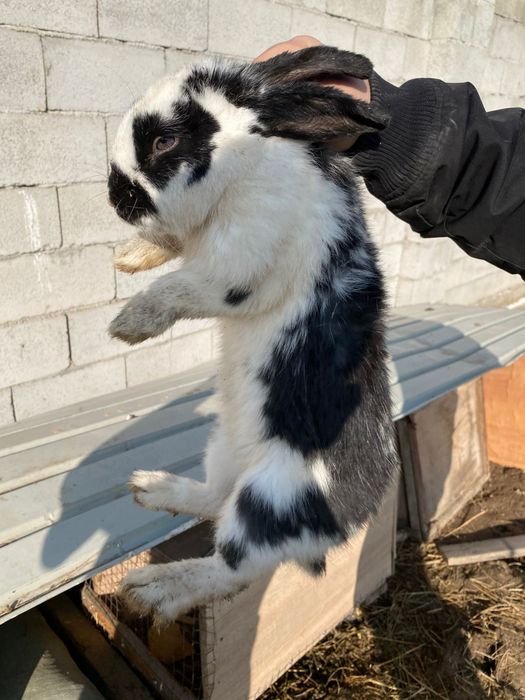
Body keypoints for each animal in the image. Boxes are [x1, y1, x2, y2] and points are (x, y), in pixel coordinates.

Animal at [107, 46, 399, 625]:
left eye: (164, 141)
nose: (114, 195)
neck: (247, 162)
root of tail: (356, 514)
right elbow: (170, 247)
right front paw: (129, 257)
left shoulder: (235, 269)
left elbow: (180, 288)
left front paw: (127, 325)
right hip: (222, 450)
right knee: (211, 498)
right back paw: (150, 487)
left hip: (270, 498)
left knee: (230, 566)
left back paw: (151, 589)